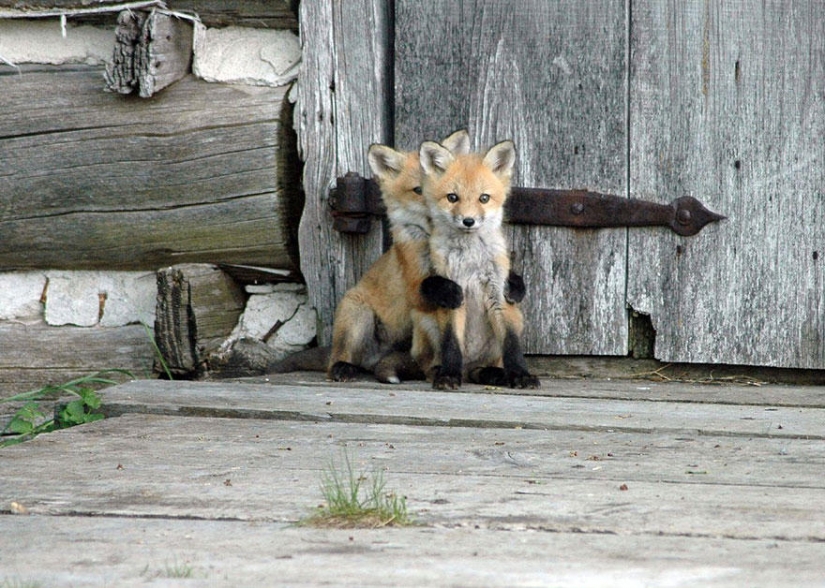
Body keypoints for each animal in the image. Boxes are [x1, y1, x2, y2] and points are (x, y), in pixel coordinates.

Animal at [415, 139, 540, 390]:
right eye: (452, 197)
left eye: (484, 198)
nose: (468, 221)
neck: (471, 259)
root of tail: (469, 366)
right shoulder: (453, 296)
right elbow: (452, 343)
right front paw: (448, 375)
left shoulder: (498, 293)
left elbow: (512, 344)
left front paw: (520, 374)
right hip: (425, 321)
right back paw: (444, 371)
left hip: (516, 319)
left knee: (483, 368)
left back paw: (494, 374)